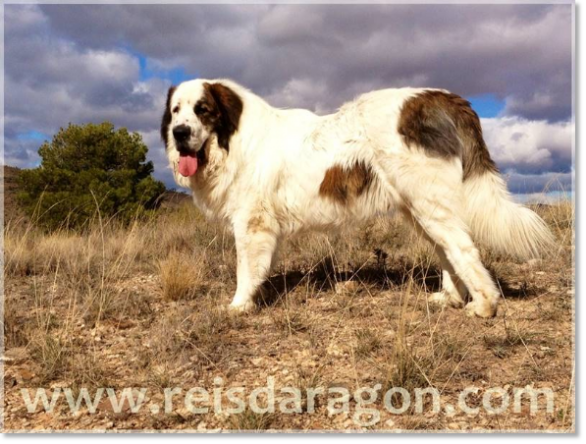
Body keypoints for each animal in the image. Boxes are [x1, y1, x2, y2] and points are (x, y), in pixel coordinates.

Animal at [161, 78, 552, 318]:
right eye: (176, 110)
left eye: (202, 109)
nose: (178, 132)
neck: (232, 139)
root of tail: (442, 97)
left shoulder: (251, 224)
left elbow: (245, 270)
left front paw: (240, 305)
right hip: (421, 209)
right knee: (448, 251)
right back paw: (450, 298)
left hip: (429, 203)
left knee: (464, 249)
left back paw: (484, 305)